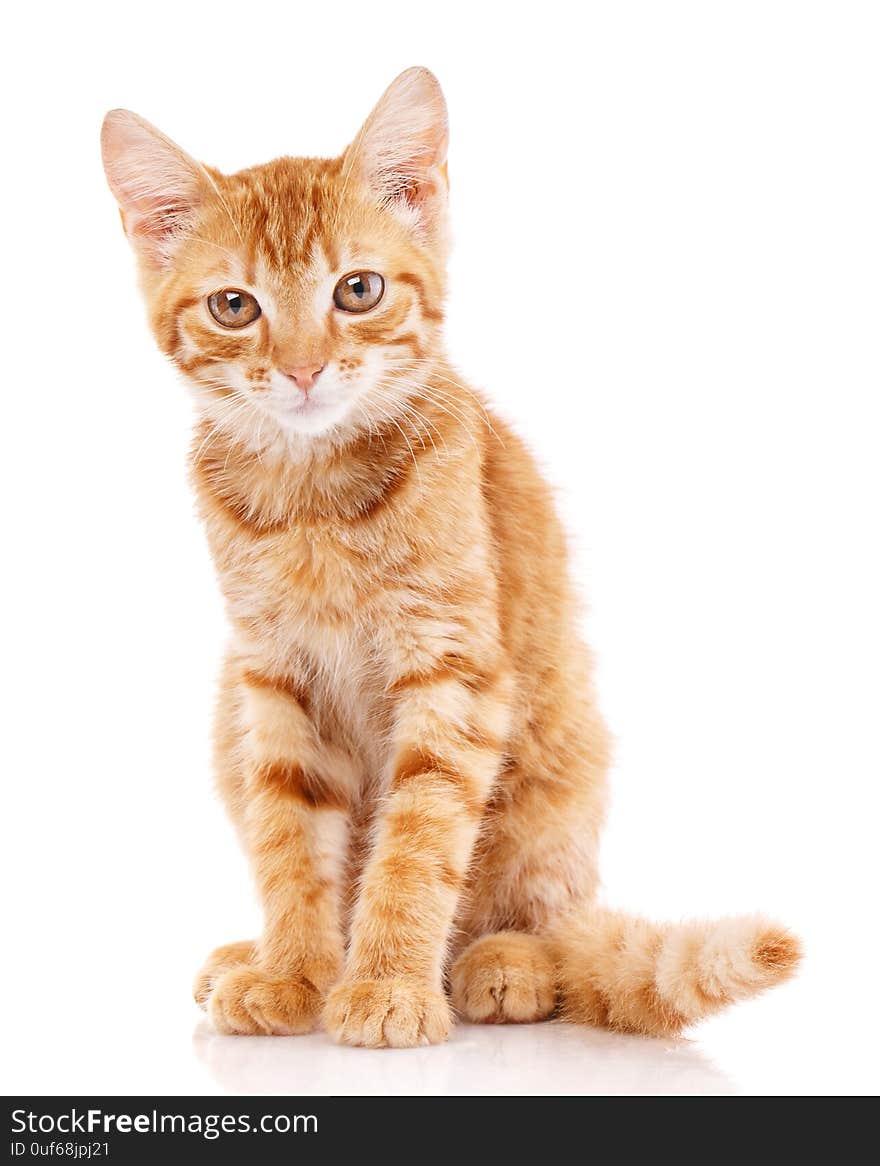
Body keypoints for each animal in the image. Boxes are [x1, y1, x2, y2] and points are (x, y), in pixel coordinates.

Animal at [99, 66, 801, 1049]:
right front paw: (295, 972)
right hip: (223, 721)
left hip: (560, 763)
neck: (313, 499)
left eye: (357, 290)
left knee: (549, 925)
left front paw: (387, 984)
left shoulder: (453, 669)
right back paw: (255, 954)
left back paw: (506, 963)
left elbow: (418, 842)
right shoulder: (270, 676)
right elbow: (289, 840)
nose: (305, 369)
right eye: (235, 307)